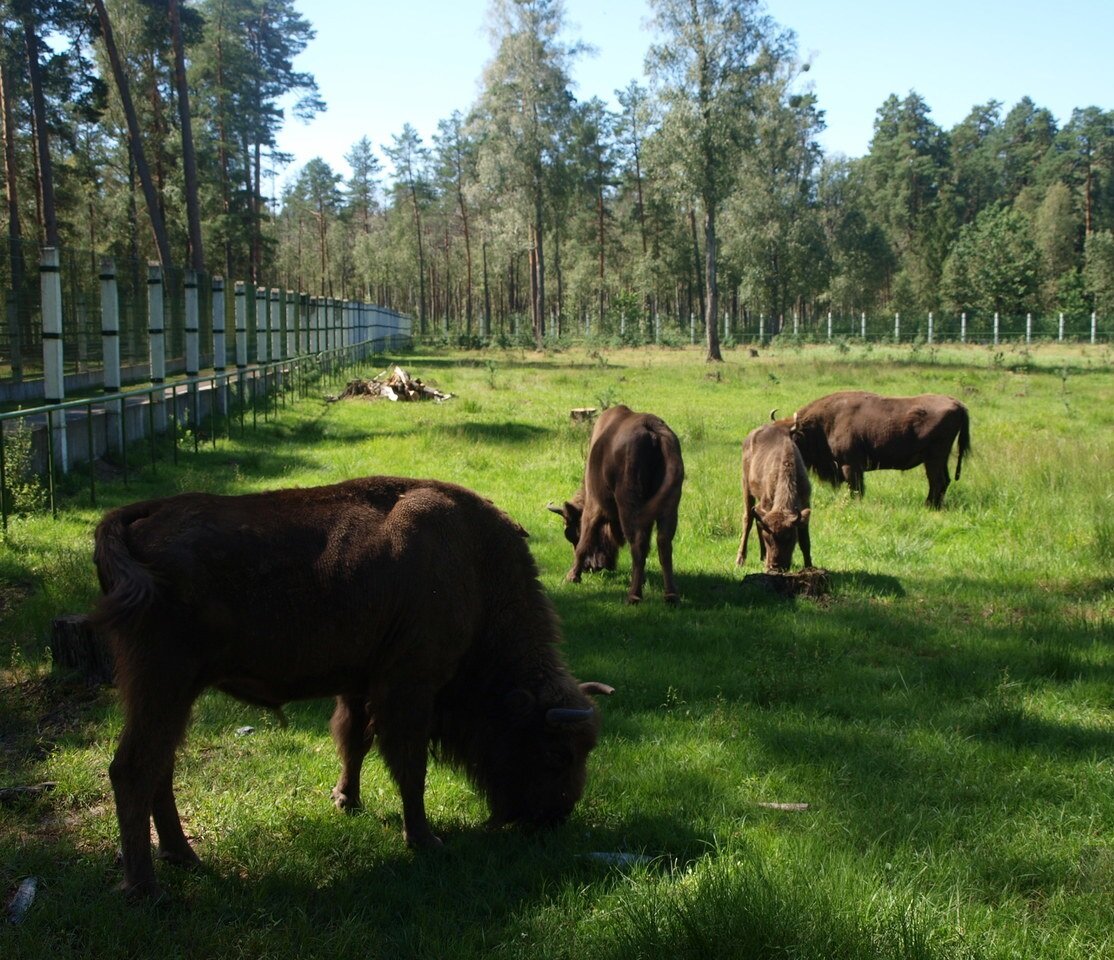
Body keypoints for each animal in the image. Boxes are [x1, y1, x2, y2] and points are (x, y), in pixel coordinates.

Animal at [93, 478, 619, 899]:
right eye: (556, 752)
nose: (556, 816)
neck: (472, 563)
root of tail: (143, 515)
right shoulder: (410, 686)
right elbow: (410, 765)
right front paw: (424, 840)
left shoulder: (362, 683)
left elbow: (355, 742)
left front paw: (346, 800)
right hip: (163, 683)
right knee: (133, 769)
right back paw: (145, 887)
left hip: (172, 695)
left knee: (159, 766)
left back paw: (182, 856)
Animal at [550, 409, 681, 605]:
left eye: (572, 534)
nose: (591, 568)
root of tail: (653, 429)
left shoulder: (593, 506)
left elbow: (585, 541)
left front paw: (572, 576)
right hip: (670, 507)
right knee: (663, 543)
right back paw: (671, 595)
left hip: (629, 506)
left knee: (638, 543)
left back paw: (633, 596)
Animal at [735, 418, 815, 570]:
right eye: (768, 538)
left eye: (790, 538)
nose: (776, 565)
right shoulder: (767, 503)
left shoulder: (805, 504)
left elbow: (805, 541)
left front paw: (809, 566)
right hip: (746, 486)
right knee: (748, 518)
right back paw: (740, 559)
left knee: (756, 518)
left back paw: (761, 556)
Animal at [784, 392, 975, 512]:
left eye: (791, 442)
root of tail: (958, 404)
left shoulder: (850, 465)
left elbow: (856, 489)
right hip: (940, 459)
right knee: (944, 481)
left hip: (934, 458)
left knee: (937, 481)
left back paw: (928, 506)